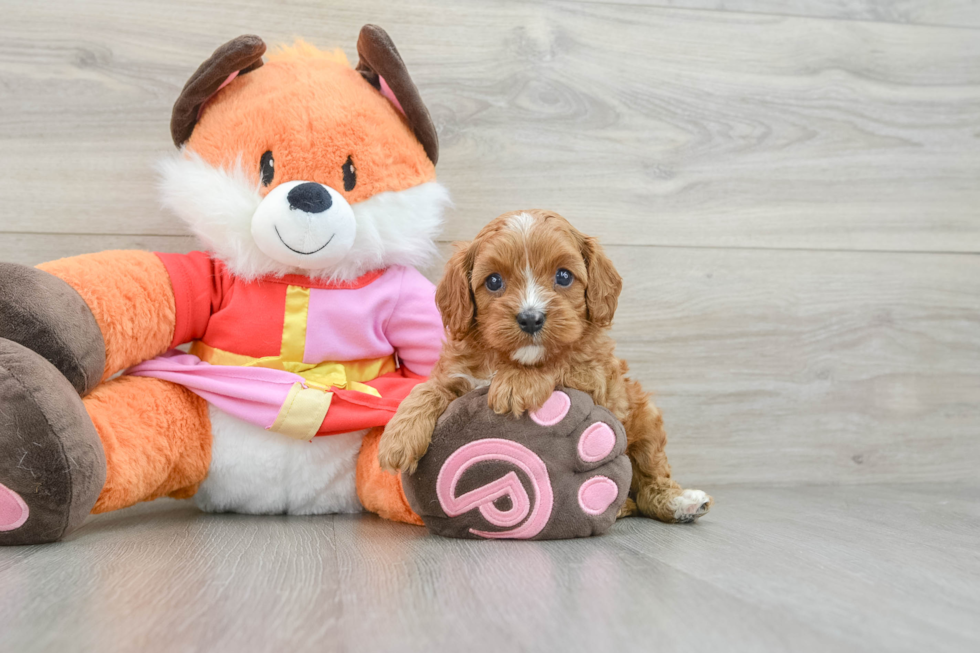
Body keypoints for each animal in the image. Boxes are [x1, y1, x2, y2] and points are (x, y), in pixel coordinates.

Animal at [378, 210, 712, 524]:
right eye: (494, 281)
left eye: (563, 276)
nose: (530, 318)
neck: (509, 358)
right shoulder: (455, 373)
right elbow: (427, 389)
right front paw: (398, 438)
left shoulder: (594, 375)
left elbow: (559, 360)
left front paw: (516, 382)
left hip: (645, 418)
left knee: (649, 480)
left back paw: (679, 502)